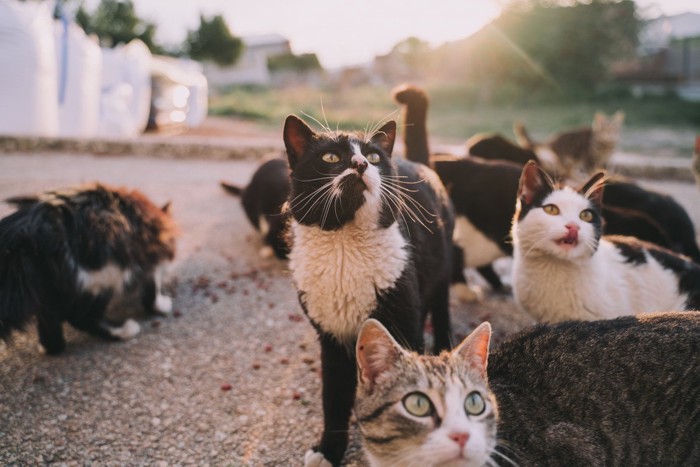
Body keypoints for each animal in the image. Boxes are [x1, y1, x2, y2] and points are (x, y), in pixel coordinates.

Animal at [0, 183, 175, 354]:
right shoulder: (150, 260)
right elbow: (152, 290)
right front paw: (161, 306)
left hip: (49, 287)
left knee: (50, 319)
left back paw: (50, 347)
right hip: (103, 276)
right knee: (81, 317)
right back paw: (124, 330)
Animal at [284, 114, 454, 467]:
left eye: (374, 156)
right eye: (330, 157)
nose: (361, 164)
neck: (344, 246)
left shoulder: (403, 321)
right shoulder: (331, 337)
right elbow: (334, 398)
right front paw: (328, 451)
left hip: (441, 272)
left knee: (440, 307)